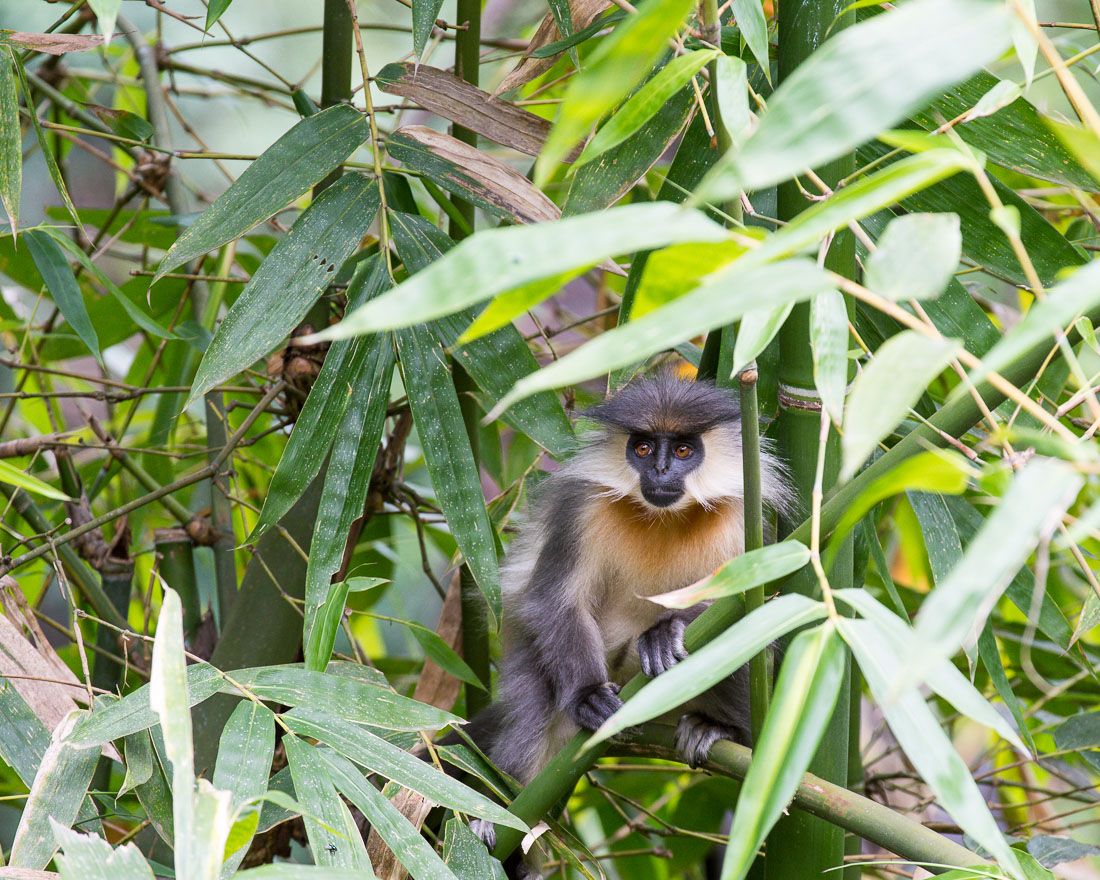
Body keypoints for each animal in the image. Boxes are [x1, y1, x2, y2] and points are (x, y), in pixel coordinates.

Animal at [464, 371, 792, 866]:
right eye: (642, 447)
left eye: (683, 450)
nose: (660, 471)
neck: (665, 519)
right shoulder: (582, 510)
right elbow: (552, 601)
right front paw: (589, 697)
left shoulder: (743, 523)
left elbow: (754, 611)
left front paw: (665, 633)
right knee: (532, 714)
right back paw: (501, 822)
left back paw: (716, 726)